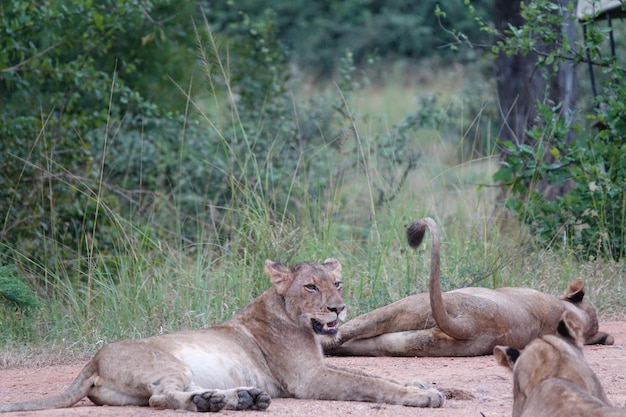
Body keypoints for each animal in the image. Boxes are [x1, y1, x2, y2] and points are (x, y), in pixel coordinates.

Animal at [0, 258, 444, 412]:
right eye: (310, 287)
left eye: (337, 283)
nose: (339, 308)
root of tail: (92, 358)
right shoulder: (308, 378)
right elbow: (369, 383)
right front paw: (420, 396)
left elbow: (371, 373)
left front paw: (421, 382)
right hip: (170, 363)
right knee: (160, 398)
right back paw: (221, 402)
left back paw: (234, 399)